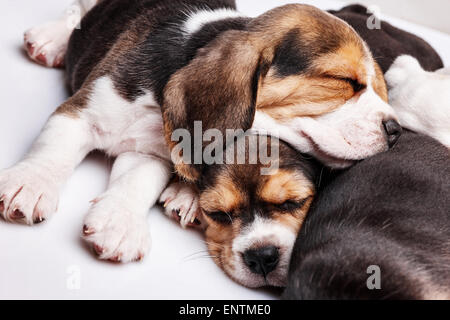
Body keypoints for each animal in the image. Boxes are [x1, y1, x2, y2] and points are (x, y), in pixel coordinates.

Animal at [1, 0, 400, 284]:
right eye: (342, 81)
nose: (396, 130)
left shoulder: (151, 151)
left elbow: (138, 181)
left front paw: (120, 222)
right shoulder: (82, 111)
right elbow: (54, 149)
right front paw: (30, 183)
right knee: (76, 10)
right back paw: (51, 38)